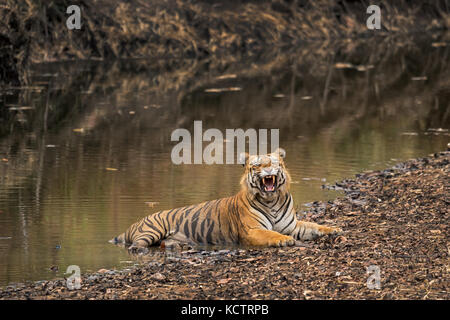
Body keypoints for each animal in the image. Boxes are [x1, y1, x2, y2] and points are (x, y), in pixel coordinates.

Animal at [110, 148, 342, 250]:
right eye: (257, 165)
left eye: (273, 163)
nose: (268, 170)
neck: (272, 200)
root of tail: (134, 224)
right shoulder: (252, 230)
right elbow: (271, 233)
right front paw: (283, 240)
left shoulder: (293, 225)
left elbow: (314, 226)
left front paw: (335, 229)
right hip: (152, 230)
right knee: (135, 245)